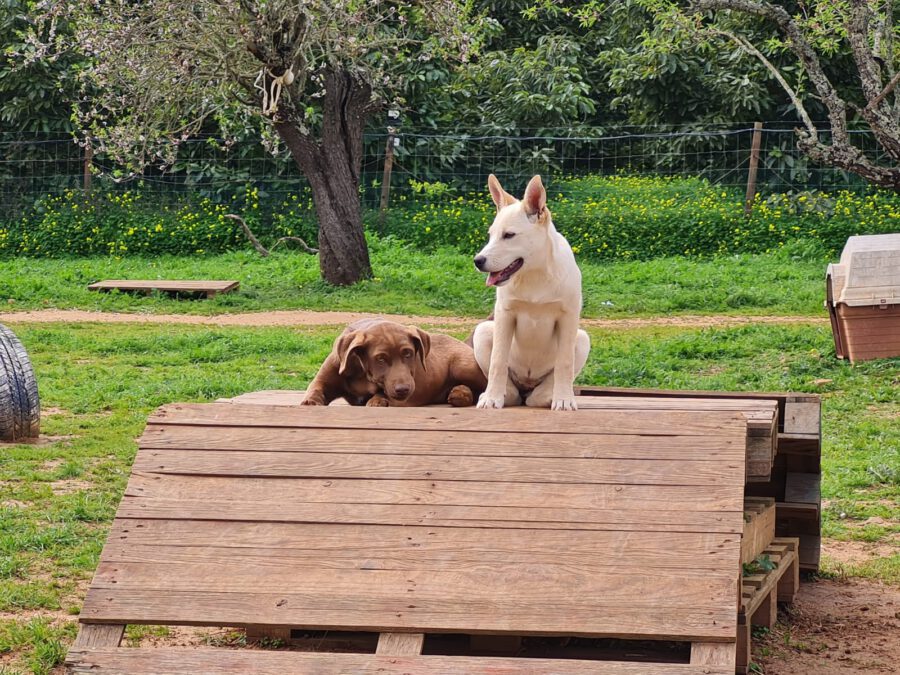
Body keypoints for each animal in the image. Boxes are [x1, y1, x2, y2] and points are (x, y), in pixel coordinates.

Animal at [301, 318, 487, 407]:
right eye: (380, 359)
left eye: (408, 353)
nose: (403, 389)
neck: (362, 373)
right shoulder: (325, 378)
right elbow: (315, 388)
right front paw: (311, 401)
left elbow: (382, 394)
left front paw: (377, 400)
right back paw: (460, 394)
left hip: (463, 366)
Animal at [471, 174, 590, 410]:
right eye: (490, 235)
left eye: (509, 235)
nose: (478, 261)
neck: (535, 274)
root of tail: (527, 384)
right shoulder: (505, 314)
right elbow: (498, 360)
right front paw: (491, 398)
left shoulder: (569, 317)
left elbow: (565, 363)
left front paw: (564, 400)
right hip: (483, 330)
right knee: (511, 388)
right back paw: (499, 395)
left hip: (582, 339)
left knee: (543, 387)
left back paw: (548, 396)